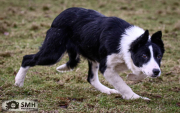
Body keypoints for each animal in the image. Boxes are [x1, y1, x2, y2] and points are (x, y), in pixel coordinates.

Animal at [15, 7, 165, 100]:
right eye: (144, 56)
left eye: (159, 56)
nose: (157, 72)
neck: (127, 42)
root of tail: (60, 14)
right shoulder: (107, 68)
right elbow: (123, 84)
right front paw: (135, 97)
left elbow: (142, 72)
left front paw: (132, 77)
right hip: (53, 53)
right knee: (27, 58)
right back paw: (18, 82)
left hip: (91, 56)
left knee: (91, 79)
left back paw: (108, 90)